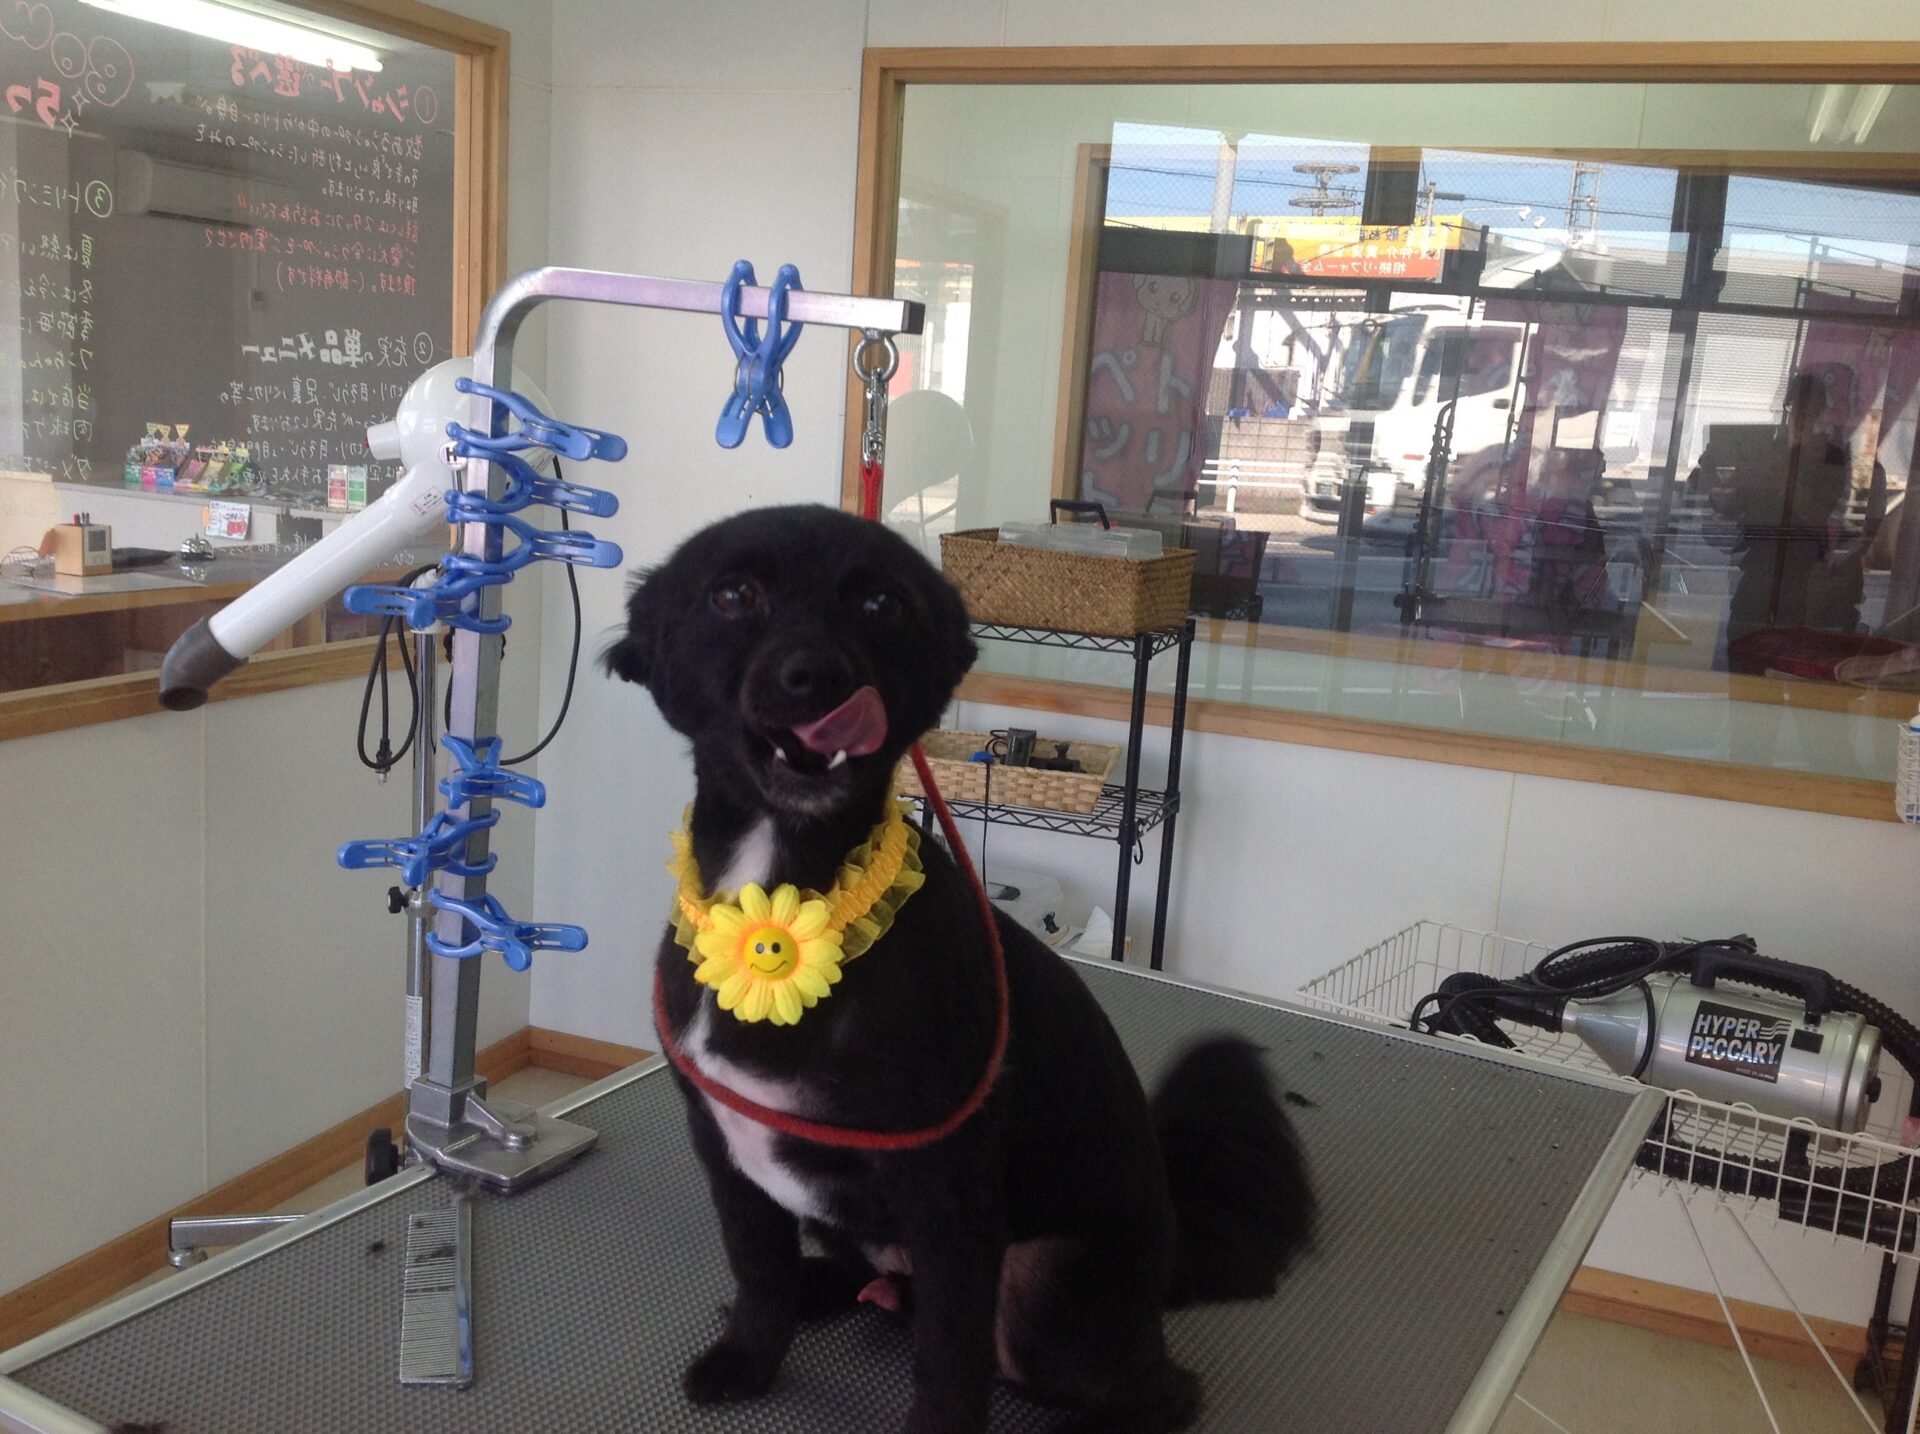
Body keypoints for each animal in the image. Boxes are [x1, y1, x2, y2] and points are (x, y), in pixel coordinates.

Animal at [606, 504, 1314, 1433]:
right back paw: (823, 1288)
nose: (817, 678)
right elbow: (758, 1273)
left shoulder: (951, 1192)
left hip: (1046, 1280)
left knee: (1160, 1388)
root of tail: (1168, 1258)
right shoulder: (726, 1152)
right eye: (732, 594)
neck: (788, 880)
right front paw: (750, 1357)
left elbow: (950, 1354)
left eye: (881, 603)